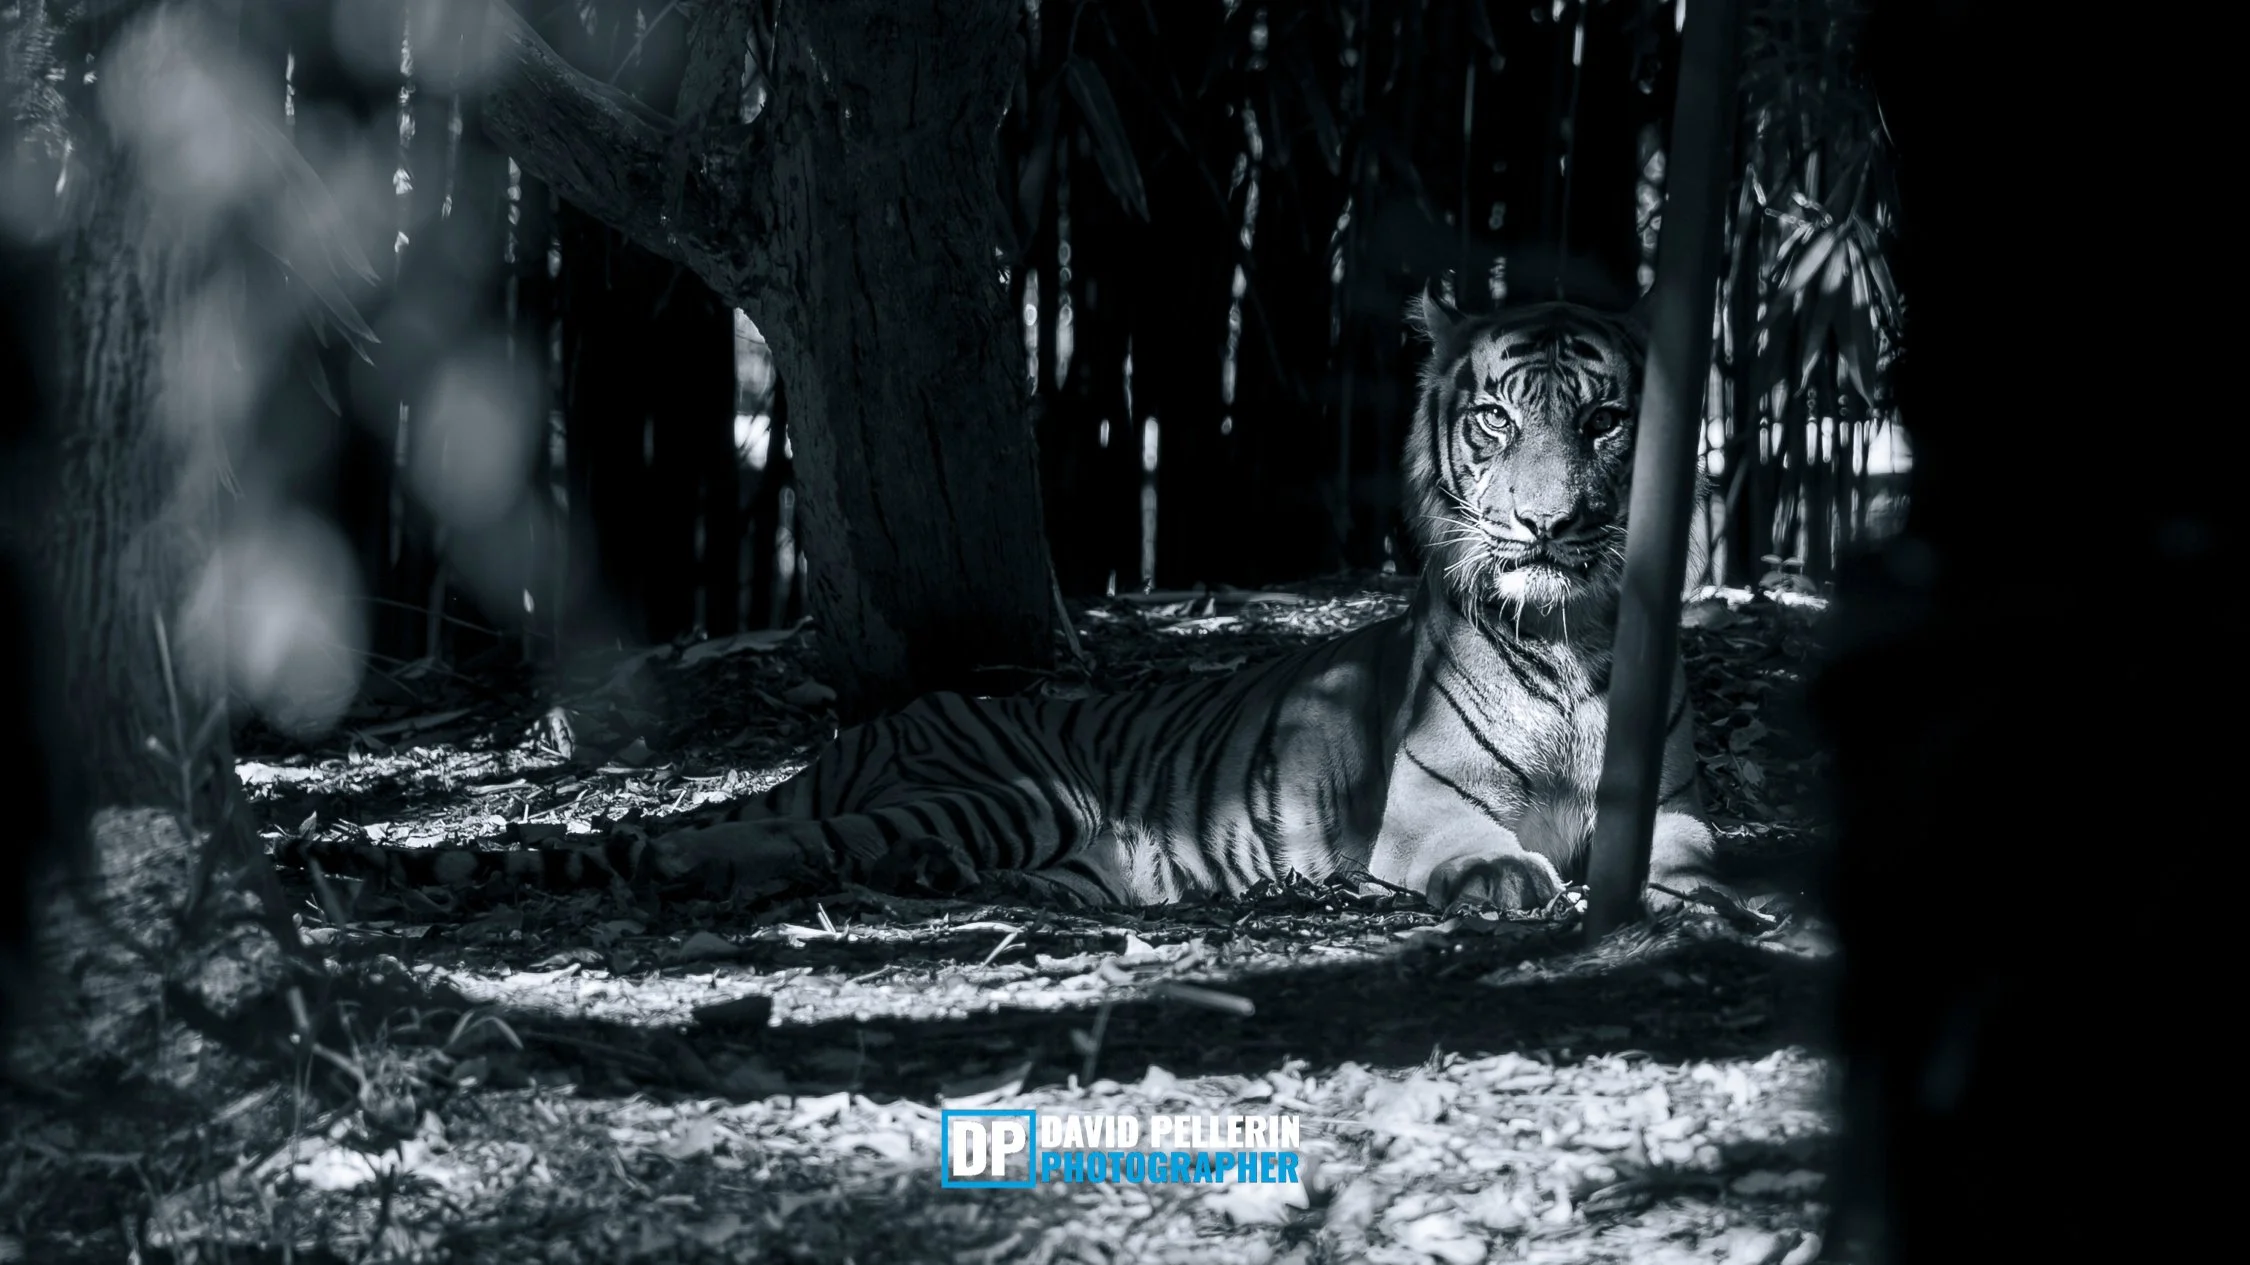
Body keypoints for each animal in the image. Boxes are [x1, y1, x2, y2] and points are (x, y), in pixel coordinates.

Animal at [638, 292, 1728, 914]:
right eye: (1496, 419)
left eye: (1605, 420)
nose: (1545, 522)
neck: (1571, 640)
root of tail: (885, 722)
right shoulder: (1422, 811)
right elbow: (1479, 847)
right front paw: (1507, 876)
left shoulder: (1669, 802)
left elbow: (1697, 855)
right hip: (1017, 792)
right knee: (799, 837)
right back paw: (690, 862)